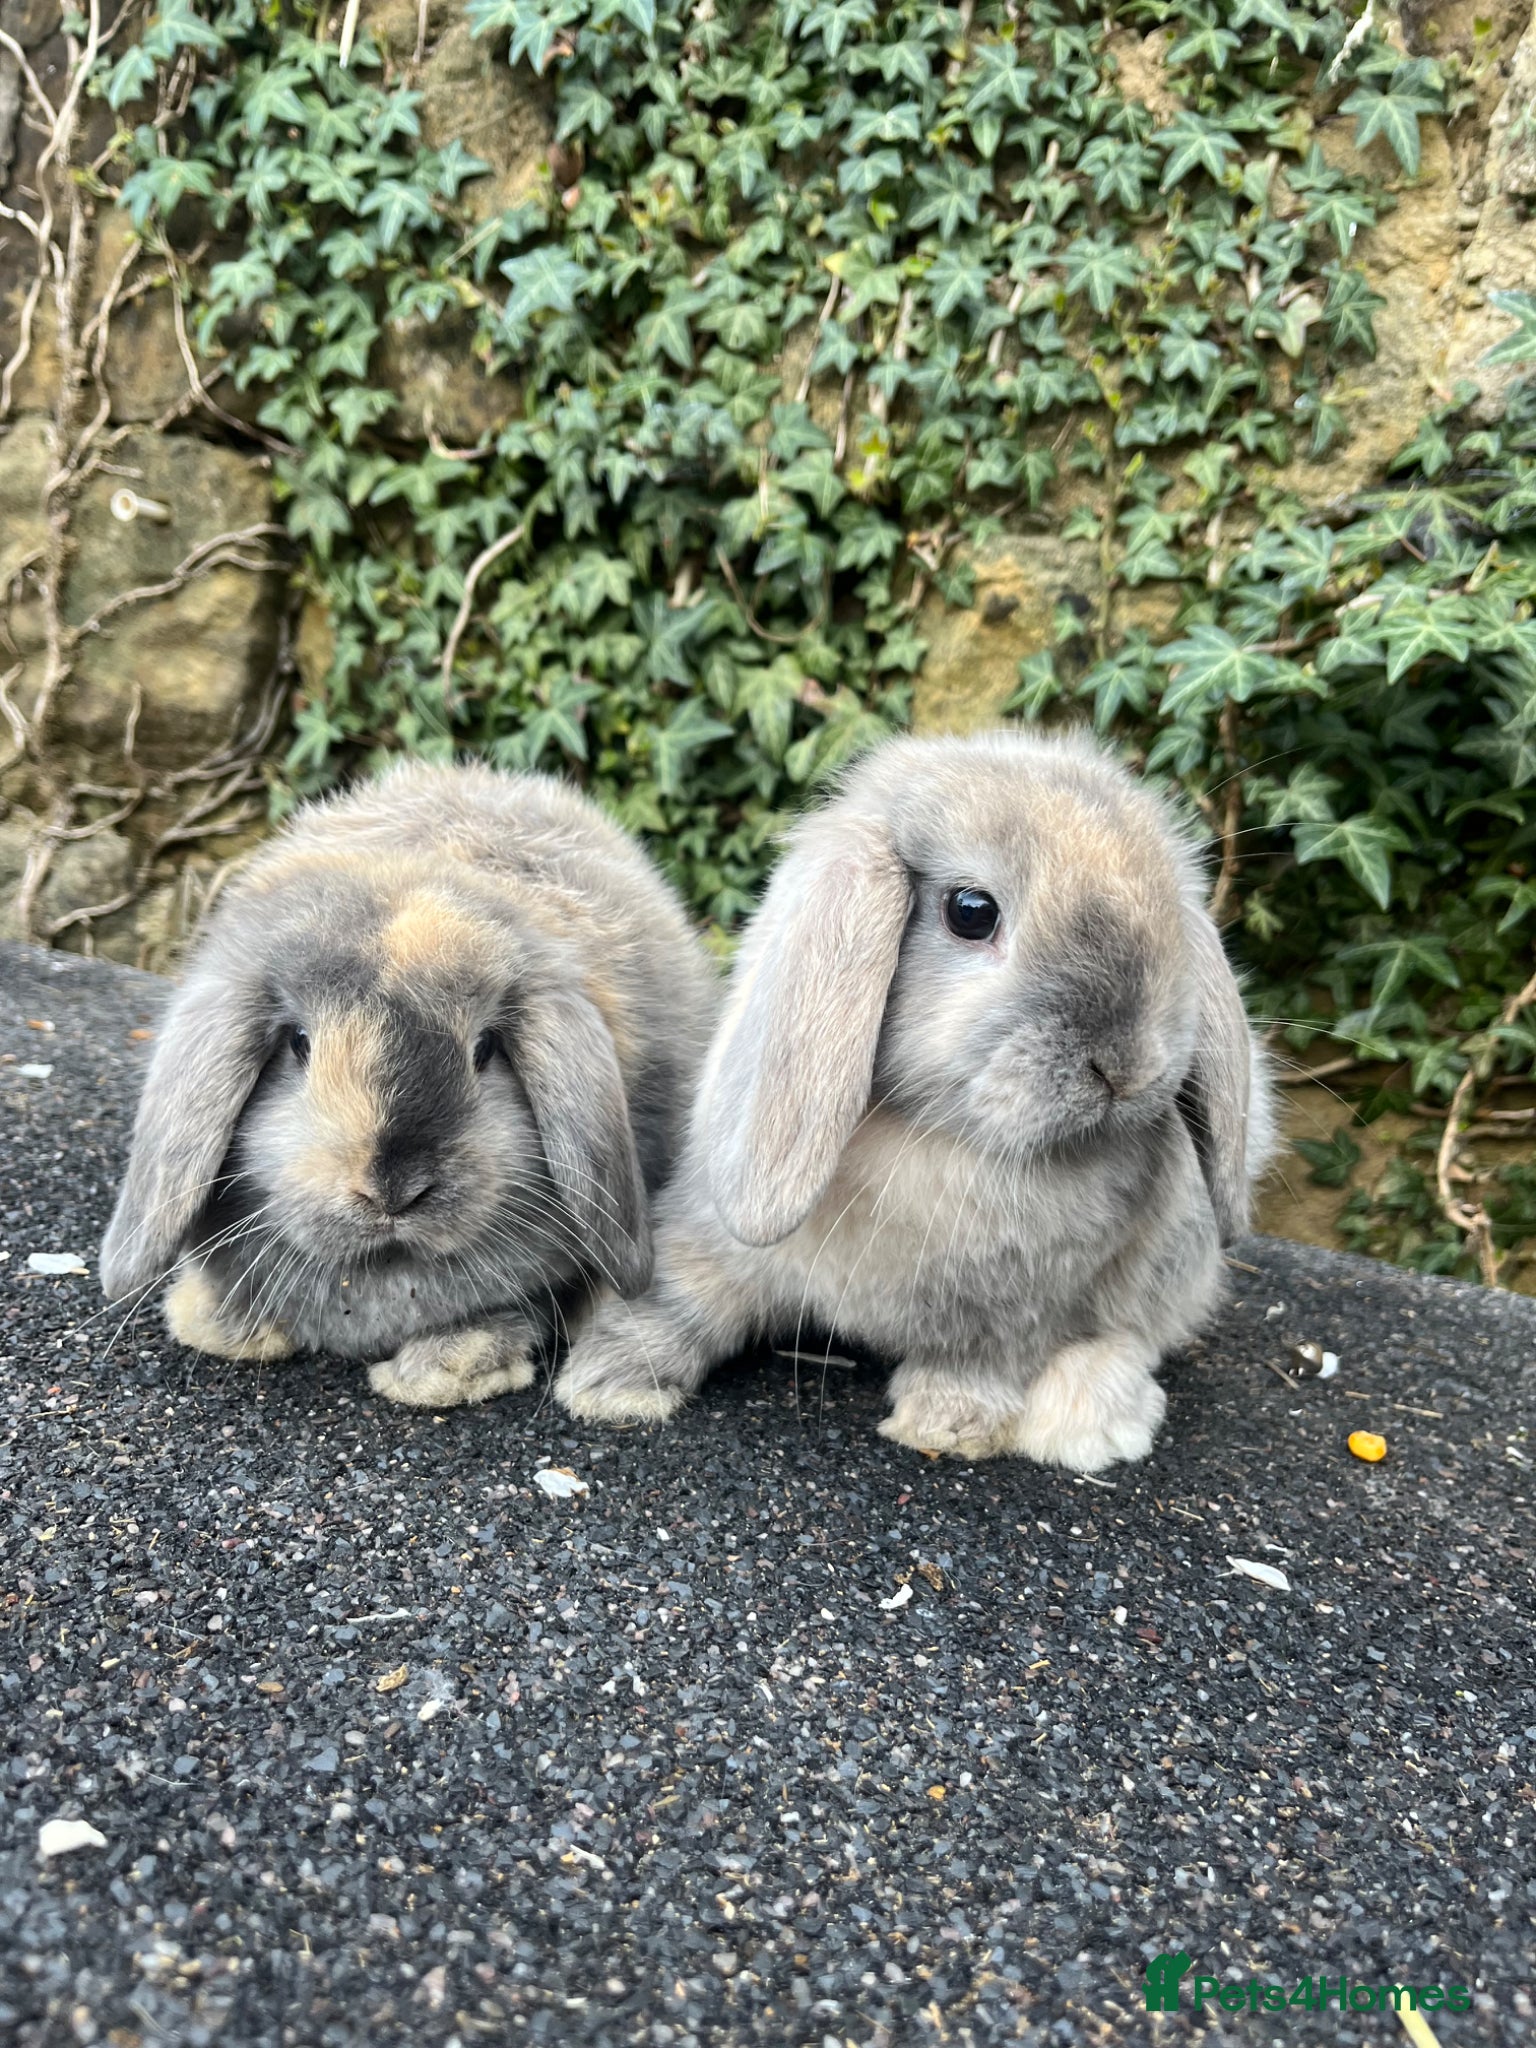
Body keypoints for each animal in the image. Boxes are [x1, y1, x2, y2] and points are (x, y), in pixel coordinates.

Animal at [555, 728, 1275, 1471]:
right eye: (971, 912)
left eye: (1169, 913)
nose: (1124, 1067)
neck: (934, 1136)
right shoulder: (717, 1235)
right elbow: (687, 1294)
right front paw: (610, 1380)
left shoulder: (1021, 1305)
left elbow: (986, 1357)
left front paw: (948, 1422)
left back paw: (1092, 1420)